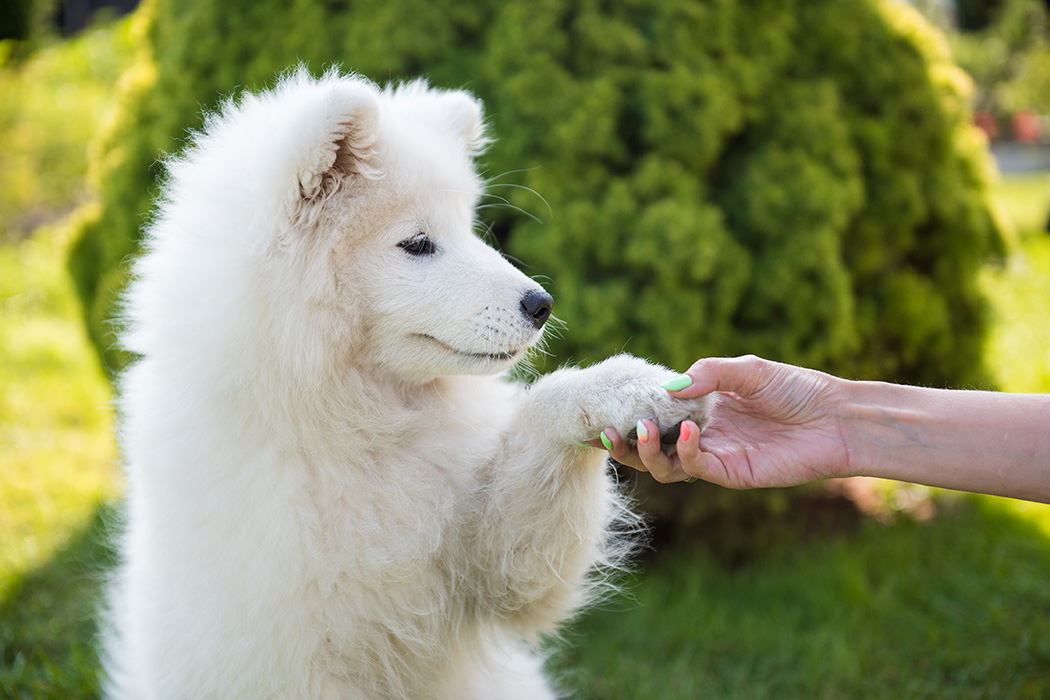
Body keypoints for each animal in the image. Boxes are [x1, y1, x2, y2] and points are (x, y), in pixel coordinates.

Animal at [104, 67, 713, 700]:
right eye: (418, 244)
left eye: (468, 229)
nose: (541, 304)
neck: (356, 425)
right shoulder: (302, 653)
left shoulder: (486, 559)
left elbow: (540, 436)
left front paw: (630, 389)